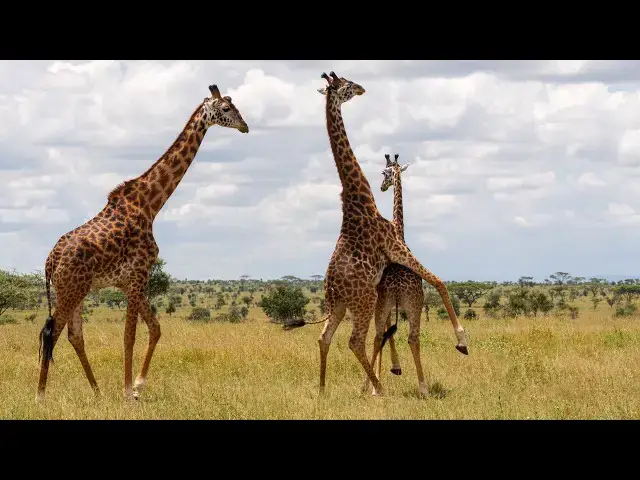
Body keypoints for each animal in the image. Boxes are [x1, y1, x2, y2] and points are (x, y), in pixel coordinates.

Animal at [36, 84, 249, 402]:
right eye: (225, 108)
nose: (245, 126)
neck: (150, 205)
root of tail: (51, 259)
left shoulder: (130, 282)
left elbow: (155, 328)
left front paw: (137, 386)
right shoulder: (138, 274)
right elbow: (130, 336)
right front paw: (127, 391)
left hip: (76, 289)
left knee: (74, 335)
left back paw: (97, 391)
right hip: (71, 289)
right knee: (52, 332)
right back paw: (40, 395)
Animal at [364, 153, 432, 397]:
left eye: (384, 173)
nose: (382, 187)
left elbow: (385, 334)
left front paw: (391, 369)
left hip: (388, 303)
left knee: (379, 337)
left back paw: (372, 385)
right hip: (412, 303)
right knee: (412, 338)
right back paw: (422, 387)